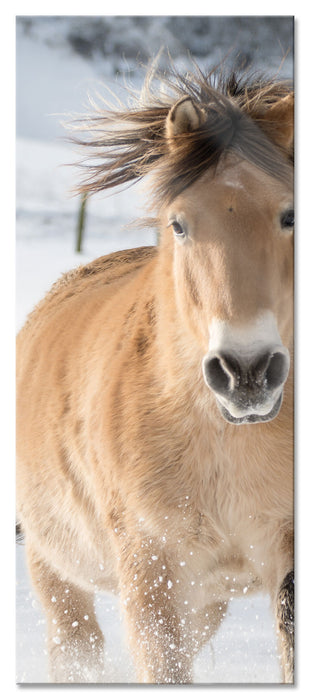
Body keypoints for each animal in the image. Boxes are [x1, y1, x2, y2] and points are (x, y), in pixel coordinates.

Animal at [15, 63, 294, 680]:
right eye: (180, 224)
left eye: (291, 215)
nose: (247, 372)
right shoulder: (152, 571)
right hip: (57, 569)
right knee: (77, 649)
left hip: (205, 601)